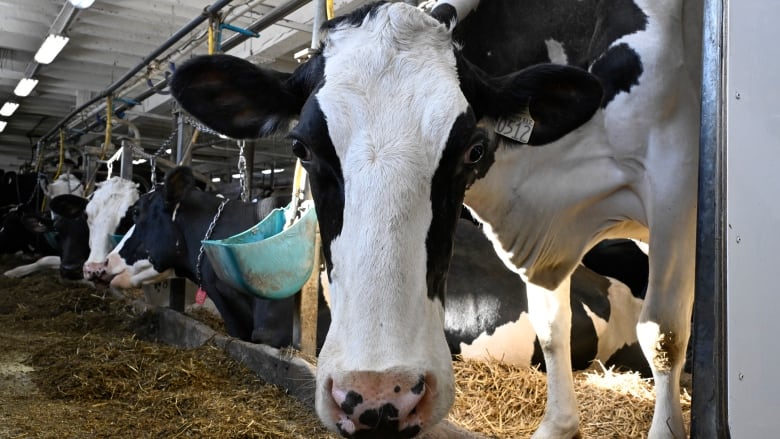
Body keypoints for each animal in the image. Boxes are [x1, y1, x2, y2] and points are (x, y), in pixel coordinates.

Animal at [166, 1, 700, 438]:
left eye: (473, 150)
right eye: (301, 148)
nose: (380, 397)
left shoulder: (673, 178)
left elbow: (663, 333)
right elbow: (553, 329)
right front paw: (559, 426)